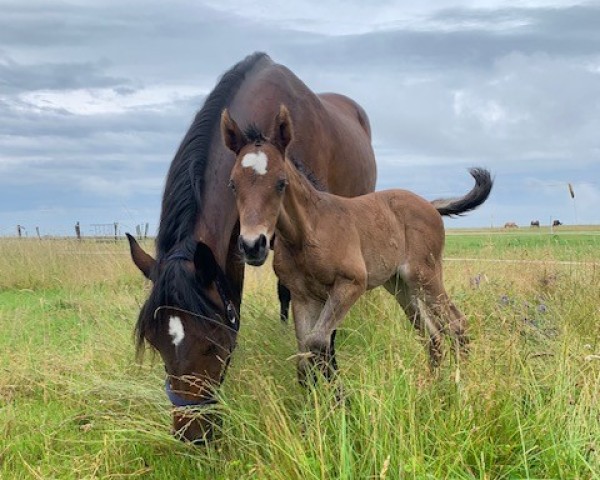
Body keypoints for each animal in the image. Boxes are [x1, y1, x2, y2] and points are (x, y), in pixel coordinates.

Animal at [125, 53, 376, 442]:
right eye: (155, 342)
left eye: (212, 344)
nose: (191, 434)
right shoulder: (234, 251)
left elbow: (322, 332)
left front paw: (327, 393)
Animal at [220, 105, 492, 382]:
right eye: (232, 184)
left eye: (281, 183)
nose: (252, 246)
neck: (308, 233)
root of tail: (429, 204)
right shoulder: (303, 296)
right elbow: (304, 356)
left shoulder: (351, 284)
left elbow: (318, 343)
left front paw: (337, 392)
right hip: (400, 285)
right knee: (433, 336)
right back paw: (431, 385)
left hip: (425, 275)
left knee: (457, 324)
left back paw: (461, 384)